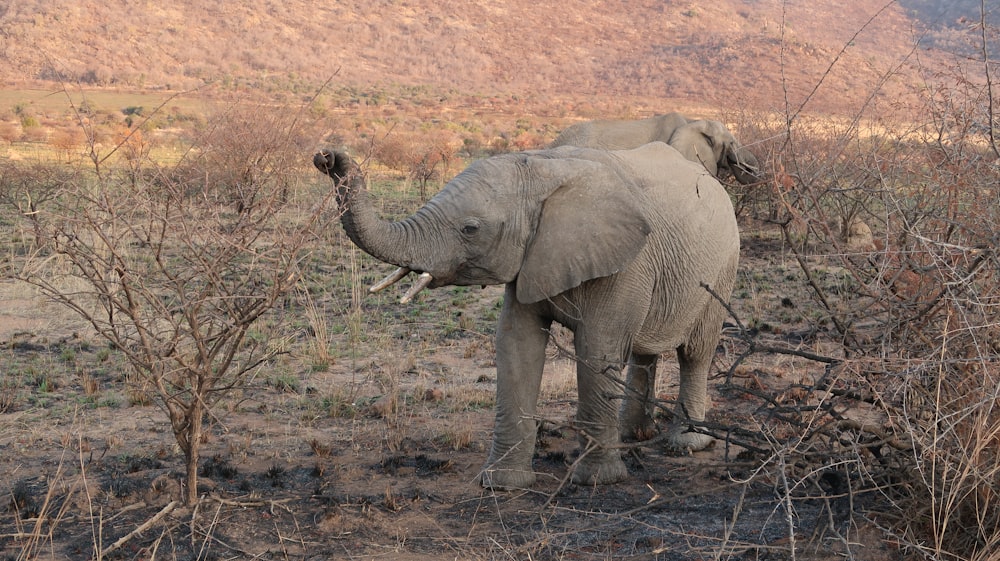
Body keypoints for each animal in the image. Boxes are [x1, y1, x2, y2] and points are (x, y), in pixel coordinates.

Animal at [316, 141, 740, 490]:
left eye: (470, 229)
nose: (327, 157)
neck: (542, 169)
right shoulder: (530, 256)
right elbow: (517, 346)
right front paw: (502, 485)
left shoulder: (625, 262)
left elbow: (598, 351)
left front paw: (597, 481)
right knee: (643, 351)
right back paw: (631, 435)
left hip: (722, 267)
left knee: (696, 352)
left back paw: (686, 443)